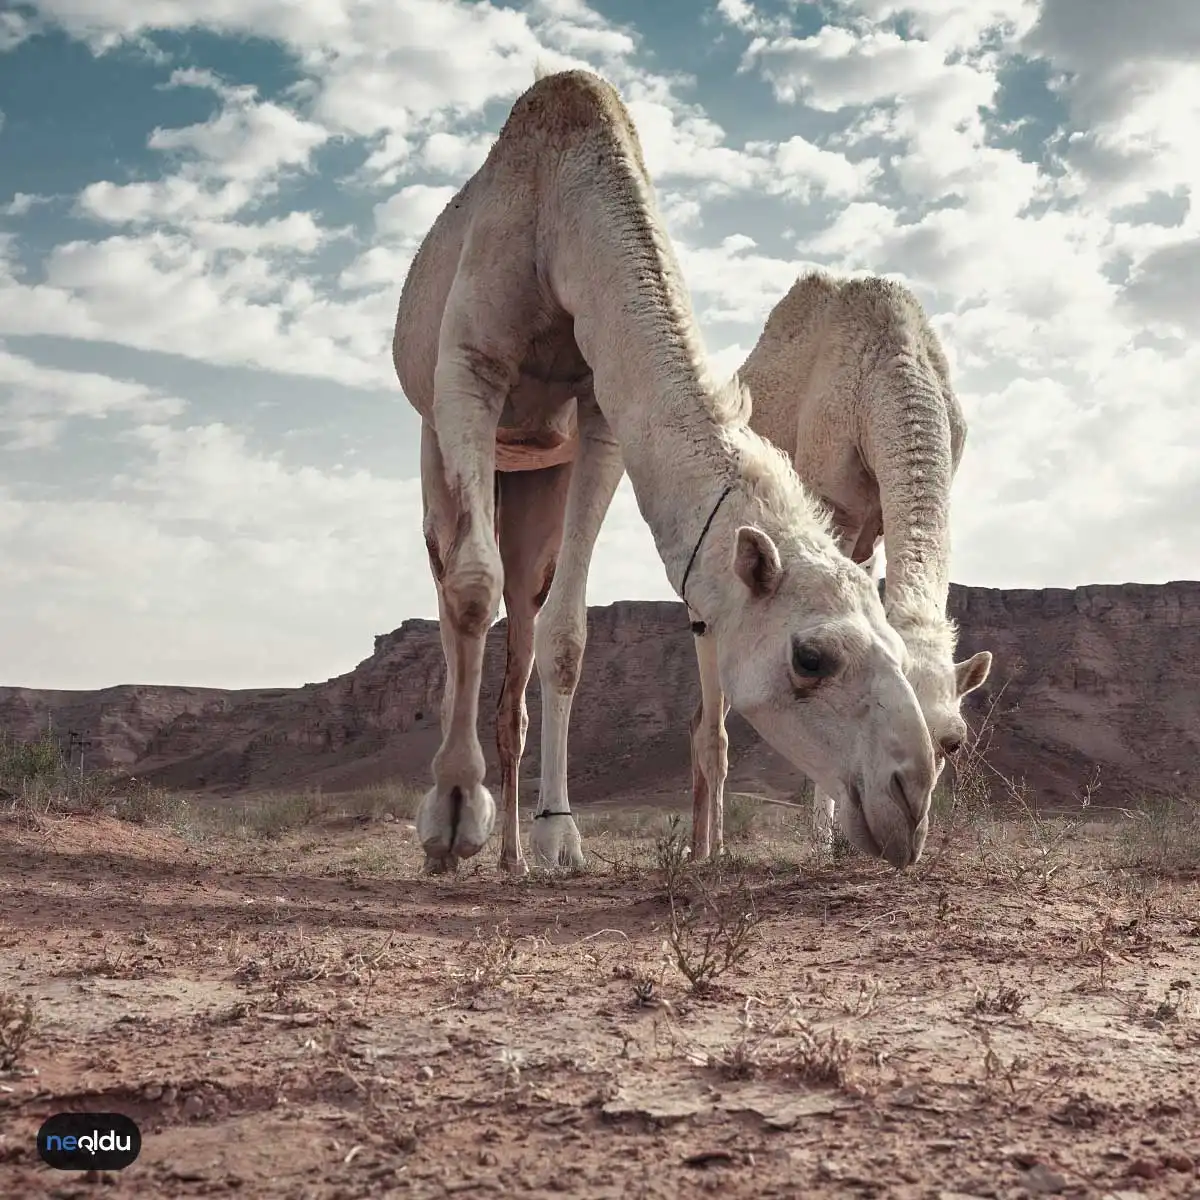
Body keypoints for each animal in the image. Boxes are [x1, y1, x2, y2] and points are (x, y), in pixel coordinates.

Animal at [393, 68, 936, 873]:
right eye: (810, 658)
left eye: (897, 649)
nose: (910, 797)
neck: (559, 224)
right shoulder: (469, 369)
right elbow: (469, 585)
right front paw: (453, 813)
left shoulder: (598, 414)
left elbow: (567, 637)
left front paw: (559, 836)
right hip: (437, 432)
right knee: (450, 571)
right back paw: (458, 825)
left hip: (539, 472)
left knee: (525, 603)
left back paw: (514, 852)